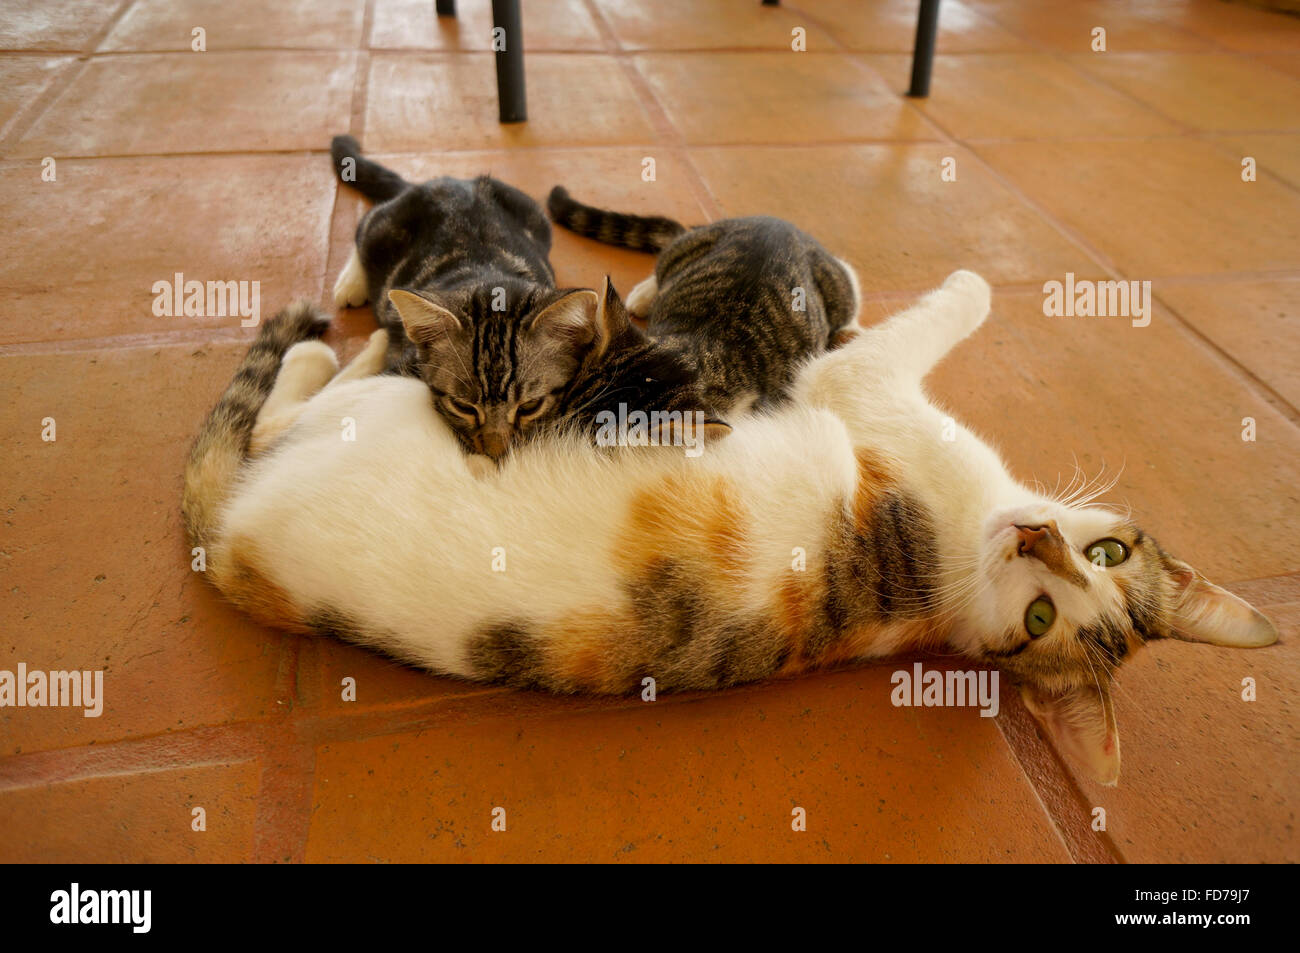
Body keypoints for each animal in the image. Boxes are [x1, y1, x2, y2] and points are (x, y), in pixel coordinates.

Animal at [178, 267, 1274, 780]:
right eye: (1103, 553)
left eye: (1044, 616)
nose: (1035, 540)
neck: (959, 573)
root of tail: (230, 554)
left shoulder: (857, 387)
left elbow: (936, 317)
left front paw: (965, 284)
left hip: (381, 423)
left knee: (279, 409)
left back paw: (345, 344)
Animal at [548, 185, 863, 413]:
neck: (694, 348)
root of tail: (780, 223)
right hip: (688, 247)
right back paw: (645, 294)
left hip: (834, 289)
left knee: (847, 281)